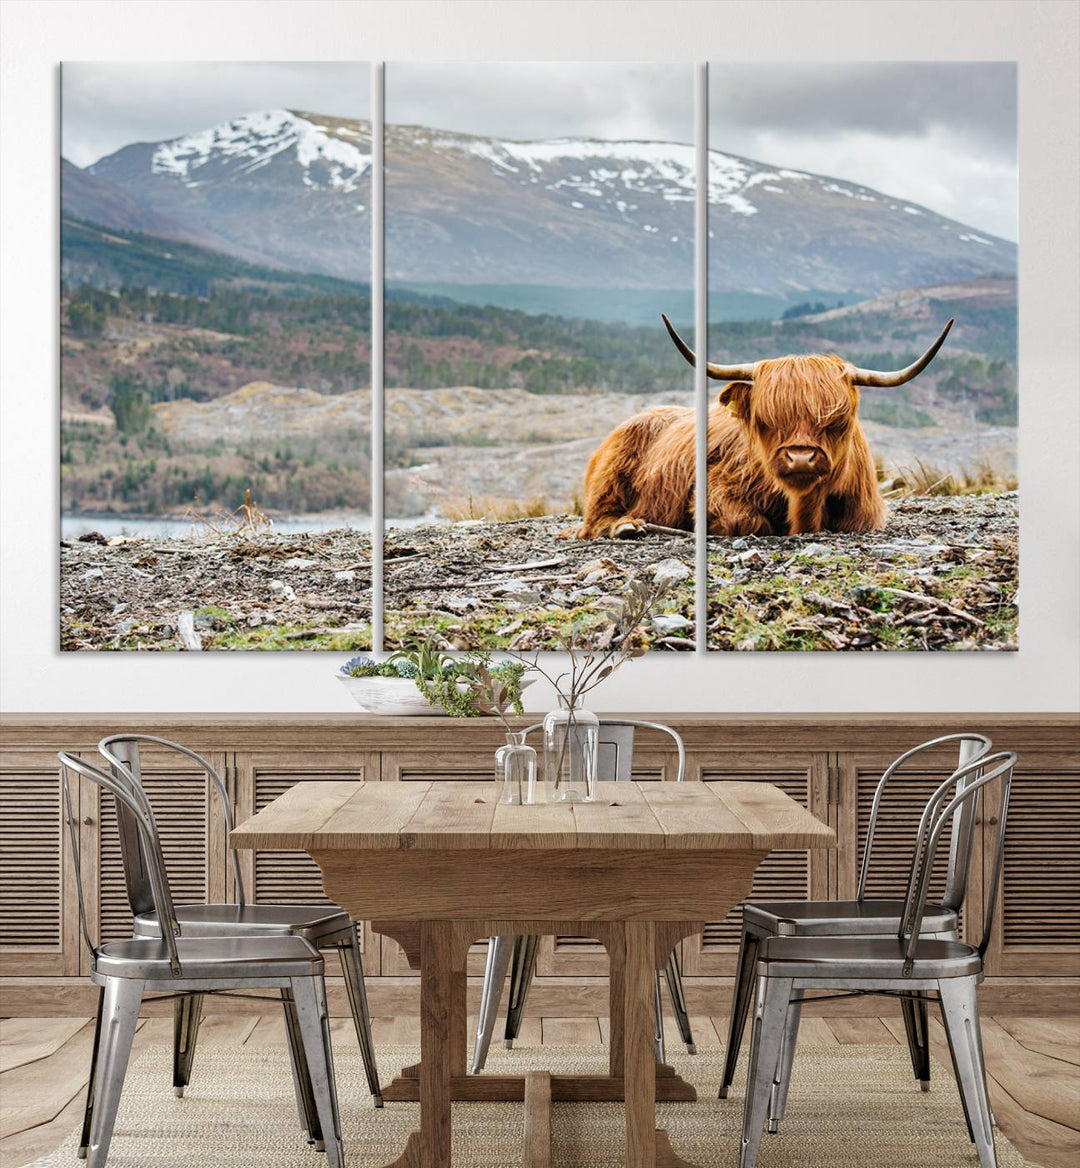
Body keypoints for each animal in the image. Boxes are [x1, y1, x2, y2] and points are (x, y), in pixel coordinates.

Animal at [576, 317, 948, 539]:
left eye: (837, 420)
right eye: (766, 420)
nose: (801, 458)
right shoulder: (716, 488)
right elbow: (747, 520)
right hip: (610, 478)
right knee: (594, 521)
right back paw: (627, 526)